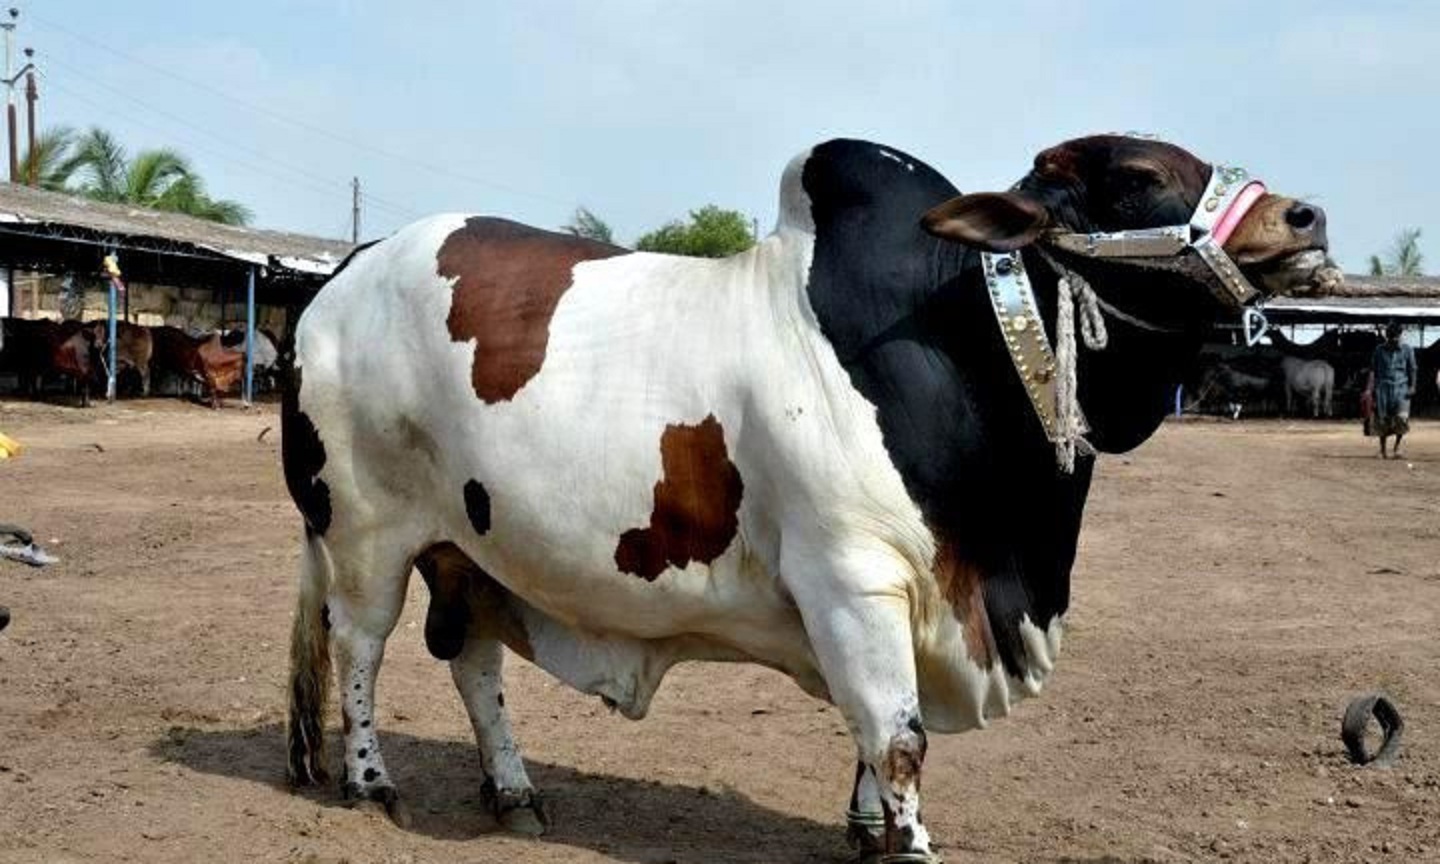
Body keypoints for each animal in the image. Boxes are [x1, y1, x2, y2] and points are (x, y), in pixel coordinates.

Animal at [282, 135, 1332, 862]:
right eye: (1143, 175)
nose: (1307, 218)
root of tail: (351, 266)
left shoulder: (895, 600)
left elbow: (870, 738)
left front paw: (866, 832)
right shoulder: (854, 579)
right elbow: (899, 737)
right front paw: (909, 847)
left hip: (470, 546)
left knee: (474, 664)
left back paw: (514, 793)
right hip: (366, 531)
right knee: (361, 647)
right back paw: (371, 784)